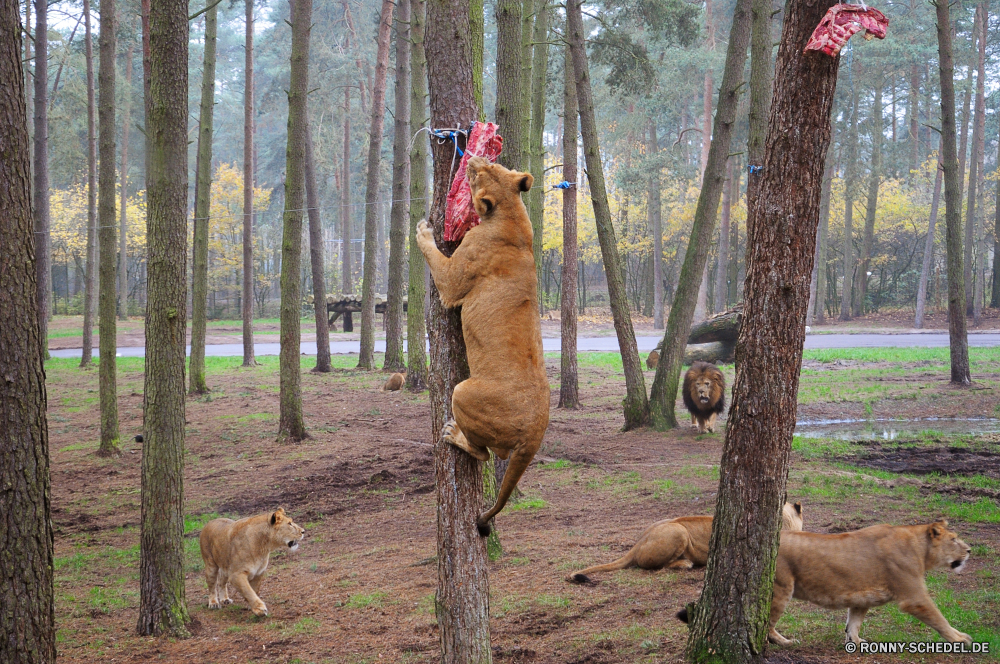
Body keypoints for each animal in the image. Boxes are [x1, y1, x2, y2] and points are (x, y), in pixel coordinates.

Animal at [418, 154, 552, 536]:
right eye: (497, 165)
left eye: (479, 173)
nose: (473, 158)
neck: (511, 213)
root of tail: (534, 435)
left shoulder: (454, 280)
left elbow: (434, 255)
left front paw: (423, 229)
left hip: (463, 392)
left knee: (487, 454)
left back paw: (453, 435)